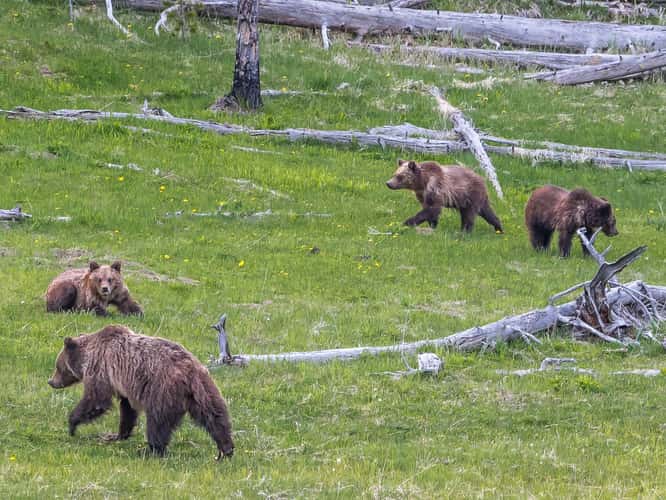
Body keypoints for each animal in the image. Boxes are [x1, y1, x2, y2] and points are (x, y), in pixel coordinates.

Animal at [47, 325, 235, 459]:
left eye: (58, 366)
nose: (51, 381)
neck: (88, 355)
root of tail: (189, 371)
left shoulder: (101, 368)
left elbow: (96, 399)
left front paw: (72, 424)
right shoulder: (124, 386)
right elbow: (127, 410)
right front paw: (118, 434)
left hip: (163, 391)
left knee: (157, 422)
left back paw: (151, 450)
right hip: (203, 389)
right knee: (215, 415)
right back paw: (226, 448)